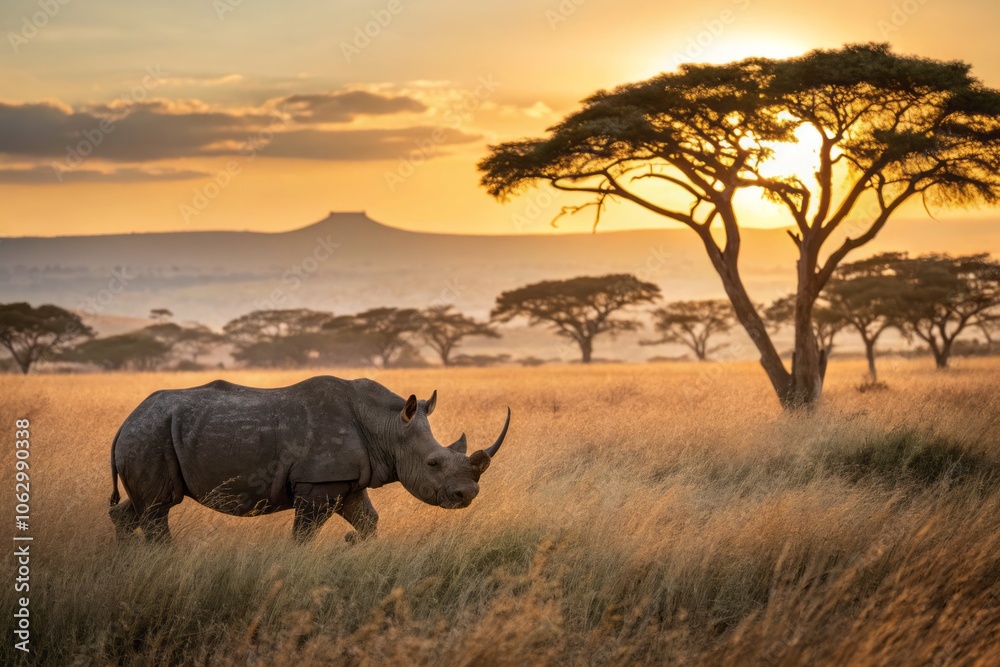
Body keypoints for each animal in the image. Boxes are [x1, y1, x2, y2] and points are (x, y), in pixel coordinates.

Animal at [108, 376, 509, 543]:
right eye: (433, 464)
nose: (467, 496)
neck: (387, 424)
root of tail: (125, 421)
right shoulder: (318, 482)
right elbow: (304, 533)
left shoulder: (345, 478)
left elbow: (369, 522)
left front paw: (352, 542)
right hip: (148, 435)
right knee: (158, 506)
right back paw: (165, 557)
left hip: (149, 433)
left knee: (142, 506)